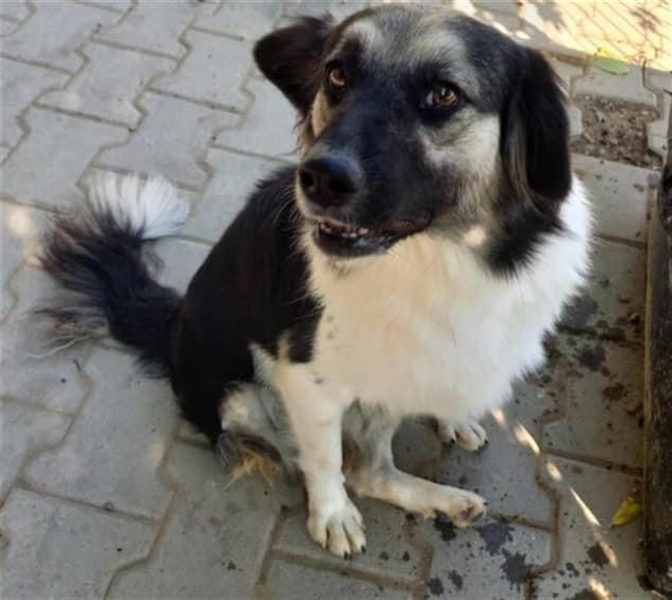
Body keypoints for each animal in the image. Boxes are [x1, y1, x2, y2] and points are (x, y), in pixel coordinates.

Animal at [40, 5, 591, 558]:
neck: (442, 258)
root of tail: (172, 323)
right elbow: (325, 459)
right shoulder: (309, 381)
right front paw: (332, 514)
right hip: (242, 395)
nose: (321, 178)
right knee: (357, 468)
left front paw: (454, 415)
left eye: (443, 93)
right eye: (337, 75)